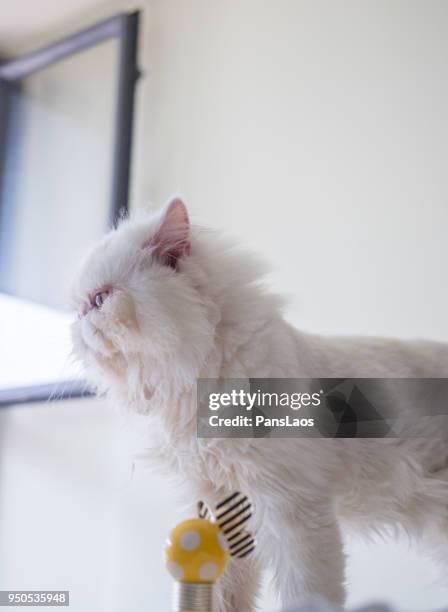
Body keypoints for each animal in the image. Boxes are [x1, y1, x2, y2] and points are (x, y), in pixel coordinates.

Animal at [71, 200, 448, 608]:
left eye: (101, 298)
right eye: (76, 307)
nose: (76, 320)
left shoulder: (291, 509)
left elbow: (306, 593)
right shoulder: (219, 508)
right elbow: (226, 593)